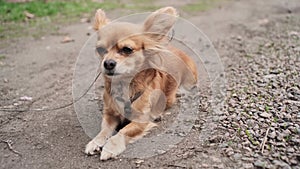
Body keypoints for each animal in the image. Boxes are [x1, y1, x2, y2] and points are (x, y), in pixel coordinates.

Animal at [84, 6, 197, 160]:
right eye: (100, 50)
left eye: (127, 49)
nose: (107, 63)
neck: (125, 85)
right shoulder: (110, 114)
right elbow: (104, 130)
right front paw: (95, 141)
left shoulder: (141, 120)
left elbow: (123, 131)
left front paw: (111, 147)